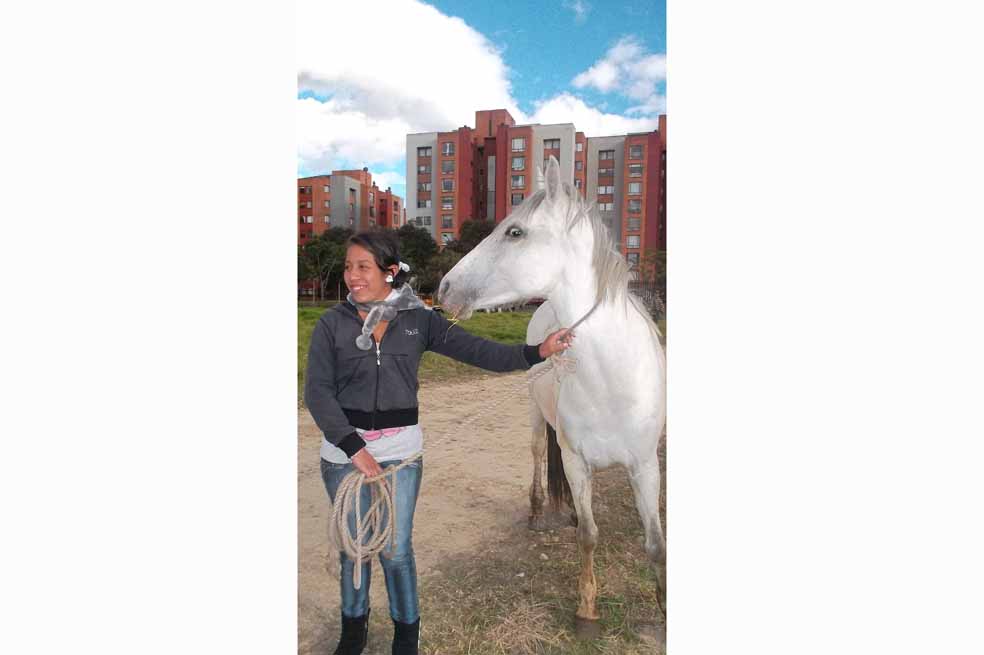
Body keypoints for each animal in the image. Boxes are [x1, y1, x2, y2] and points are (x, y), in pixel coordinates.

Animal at [437, 156, 667, 637]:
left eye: (514, 231)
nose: (445, 288)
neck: (613, 380)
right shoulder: (576, 460)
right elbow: (588, 538)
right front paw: (586, 611)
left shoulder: (645, 465)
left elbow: (655, 543)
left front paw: (663, 609)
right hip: (534, 416)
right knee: (540, 454)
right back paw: (537, 509)